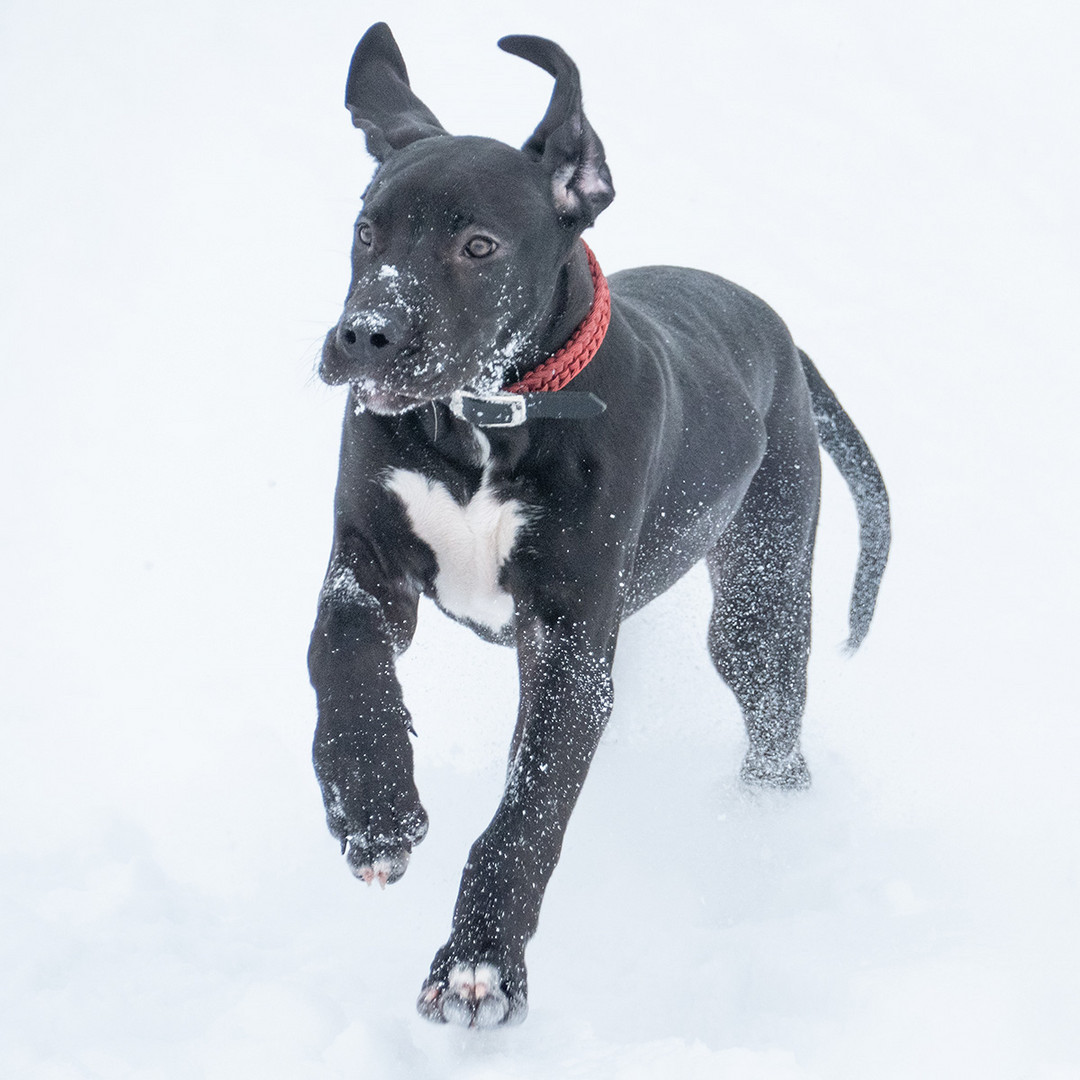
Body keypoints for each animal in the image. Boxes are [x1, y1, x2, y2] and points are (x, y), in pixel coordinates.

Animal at [306, 21, 885, 1023]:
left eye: (480, 245)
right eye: (366, 229)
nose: (364, 335)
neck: (486, 418)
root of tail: (786, 342)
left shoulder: (570, 646)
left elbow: (530, 811)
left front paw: (480, 960)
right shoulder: (367, 560)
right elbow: (339, 654)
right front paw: (372, 807)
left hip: (758, 606)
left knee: (777, 738)